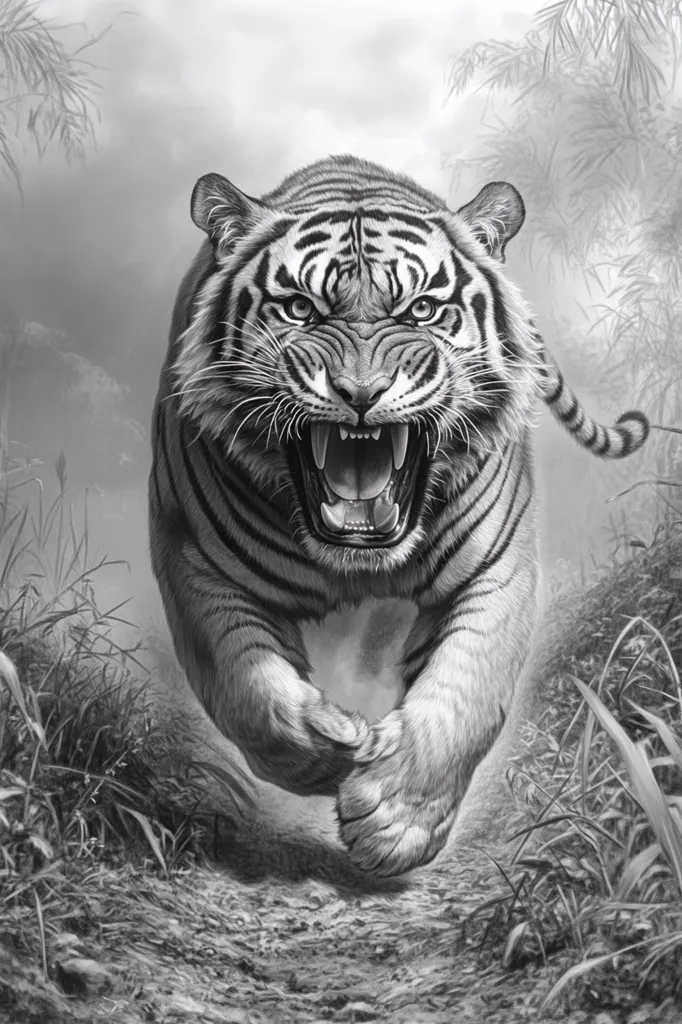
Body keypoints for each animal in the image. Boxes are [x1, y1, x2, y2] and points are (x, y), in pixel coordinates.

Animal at [148, 154, 649, 877]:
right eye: (300, 309)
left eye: (422, 310)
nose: (361, 393)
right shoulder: (193, 559)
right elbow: (248, 691)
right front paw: (335, 746)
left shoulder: (499, 572)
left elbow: (467, 691)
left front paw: (396, 819)